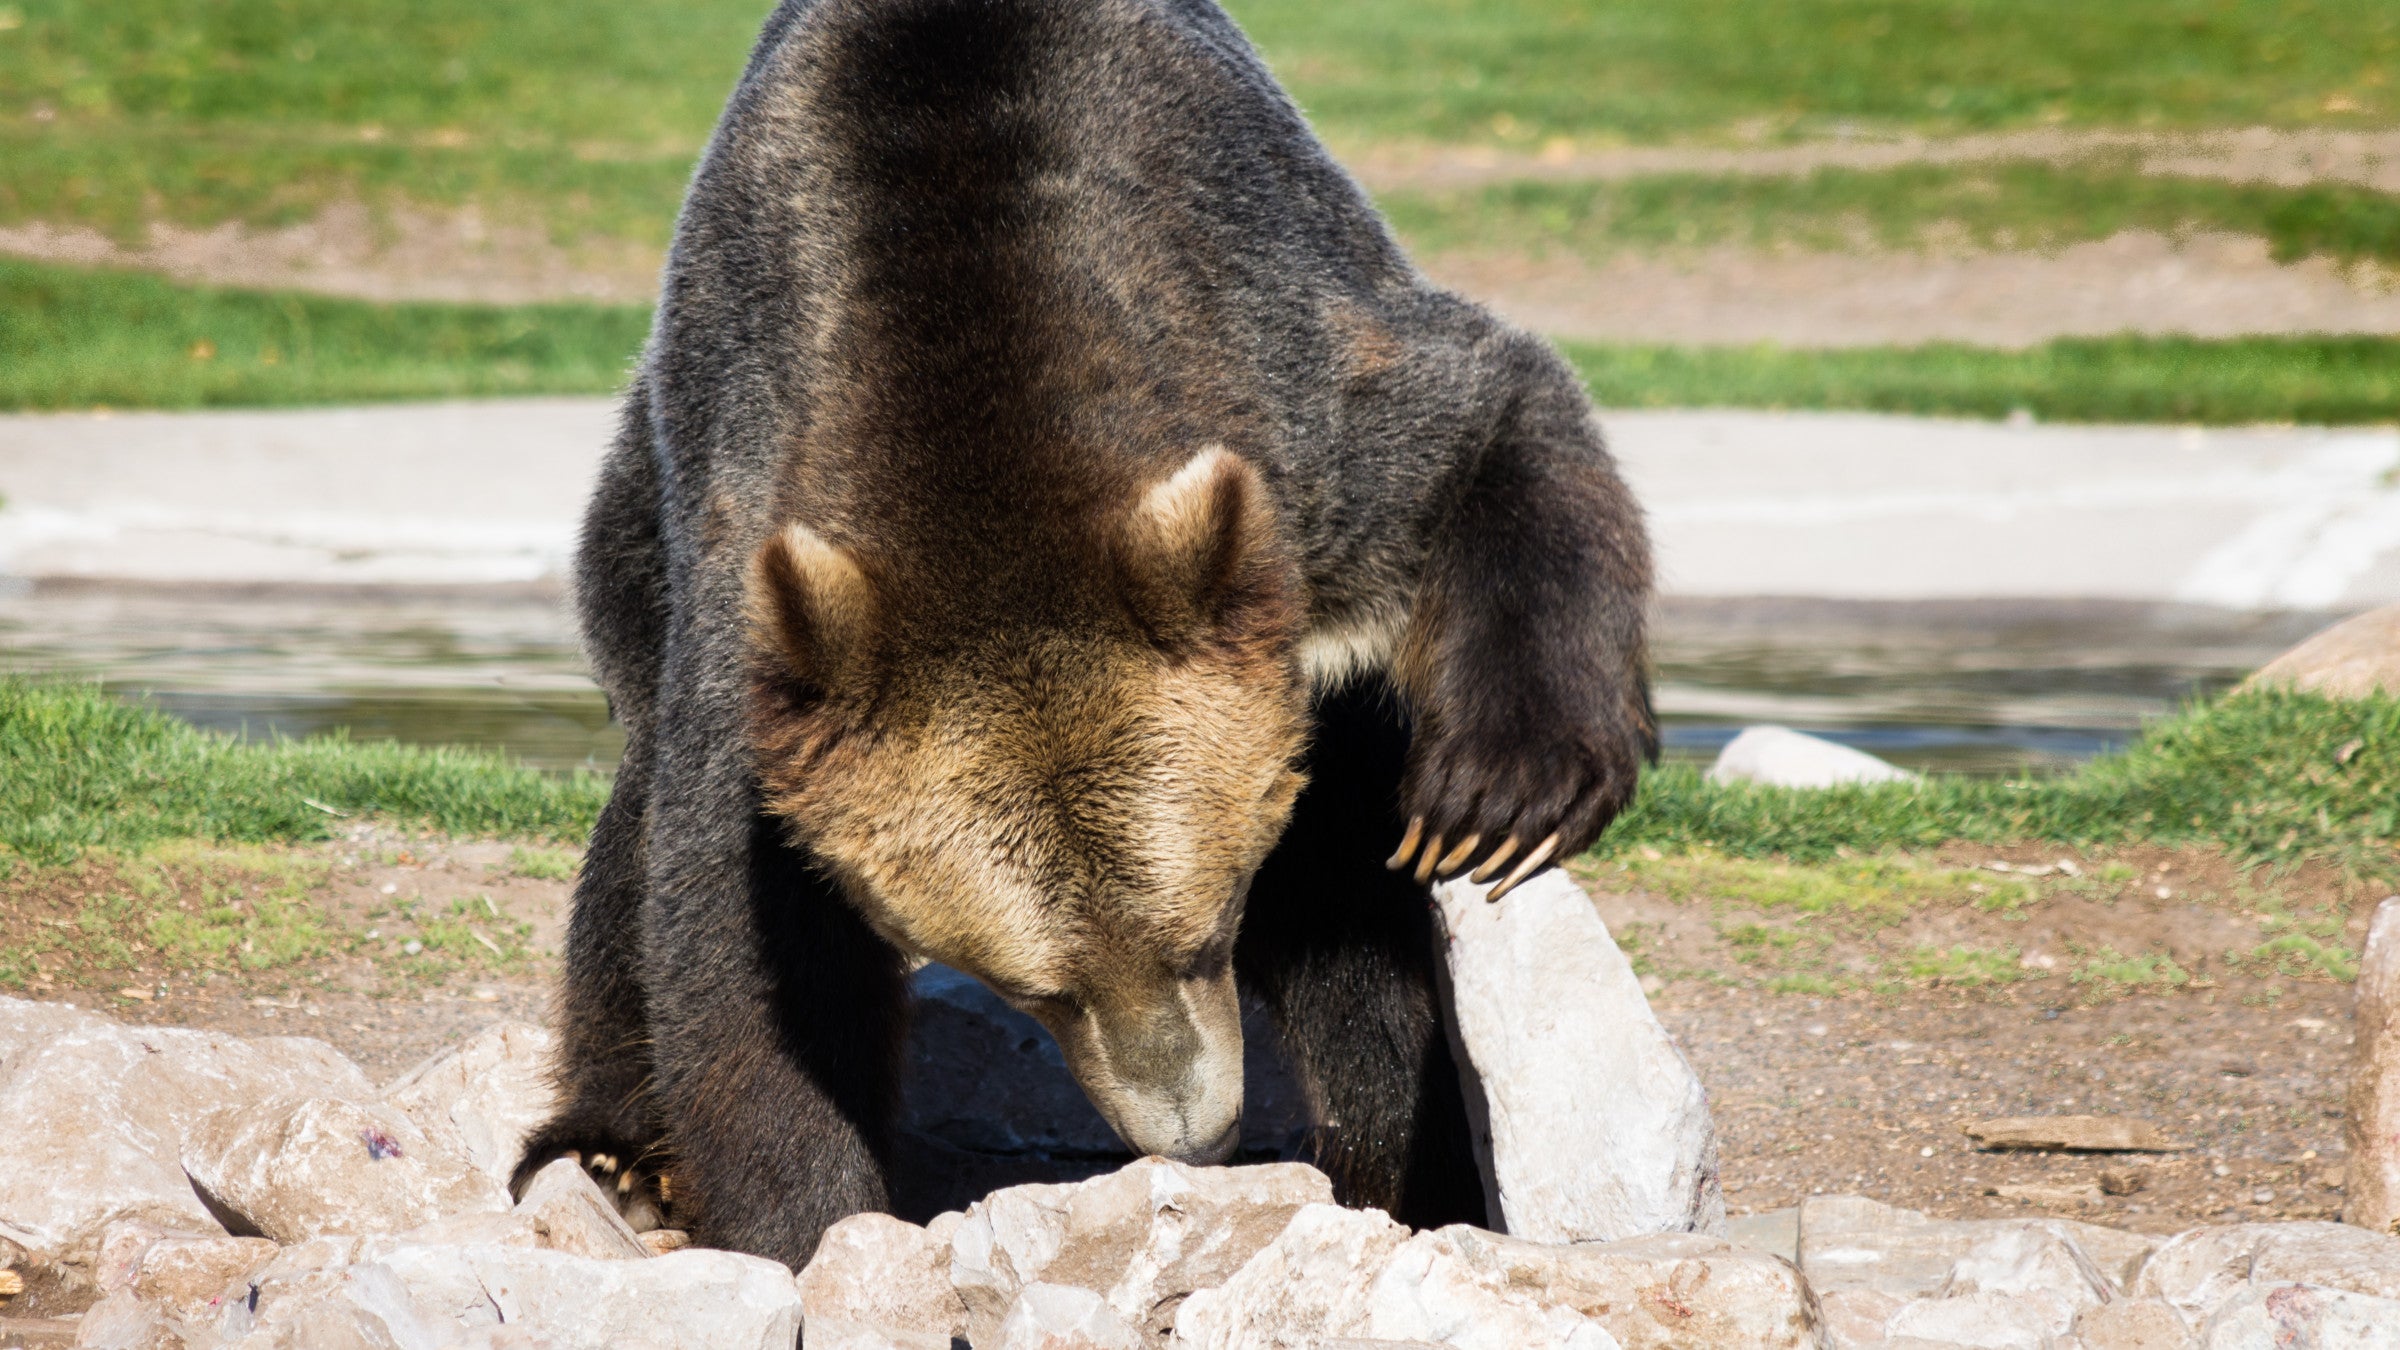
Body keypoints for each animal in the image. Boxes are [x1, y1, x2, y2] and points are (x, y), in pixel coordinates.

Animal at [514, 0, 1656, 1269]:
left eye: (1209, 928)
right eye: (1039, 988)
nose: (1189, 1132)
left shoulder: (1292, 413)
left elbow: (1495, 420)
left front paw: (1506, 790)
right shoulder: (751, 593)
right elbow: (741, 948)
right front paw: (807, 1222)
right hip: (634, 536)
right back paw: (619, 1157)